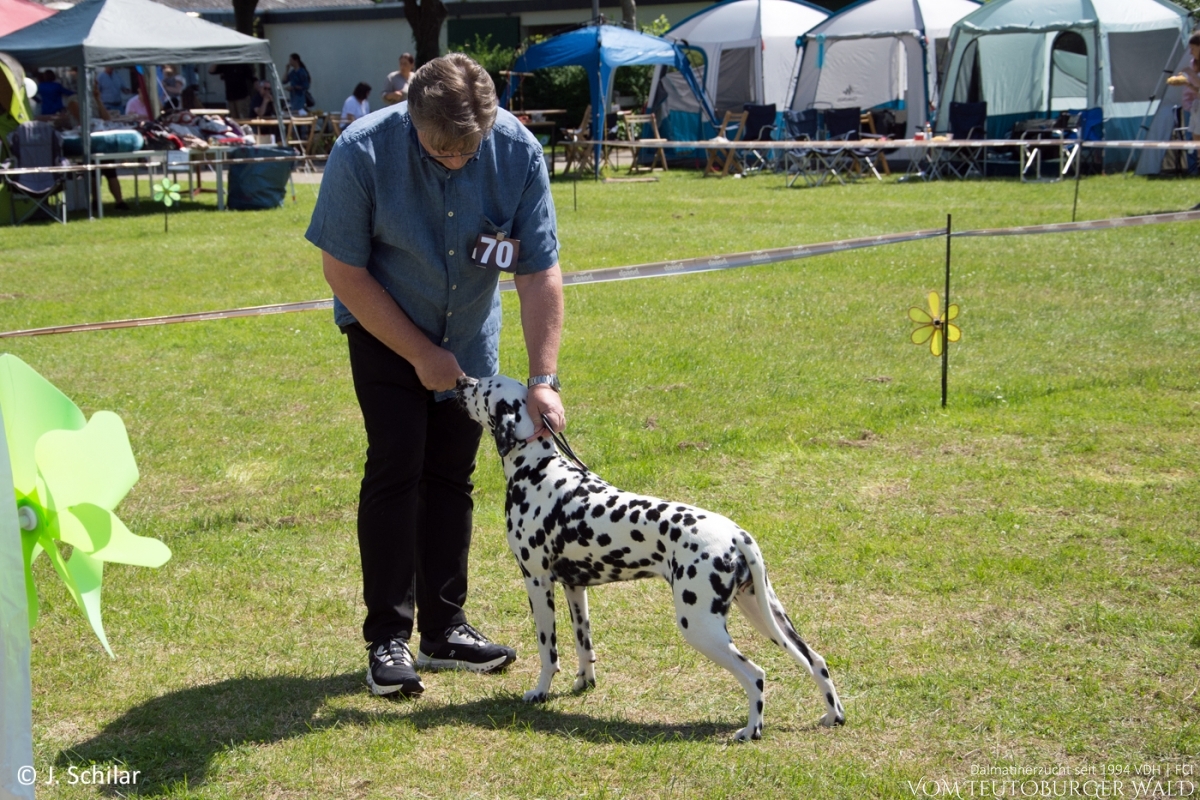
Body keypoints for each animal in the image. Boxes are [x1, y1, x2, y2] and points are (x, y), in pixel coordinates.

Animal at [453, 376, 849, 743]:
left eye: (483, 387)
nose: (461, 380)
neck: (539, 469)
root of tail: (738, 535)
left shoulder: (537, 582)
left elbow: (547, 650)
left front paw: (540, 692)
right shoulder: (575, 588)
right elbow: (585, 645)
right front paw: (584, 684)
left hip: (701, 626)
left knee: (756, 675)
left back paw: (751, 730)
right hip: (765, 614)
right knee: (816, 660)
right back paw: (833, 716)